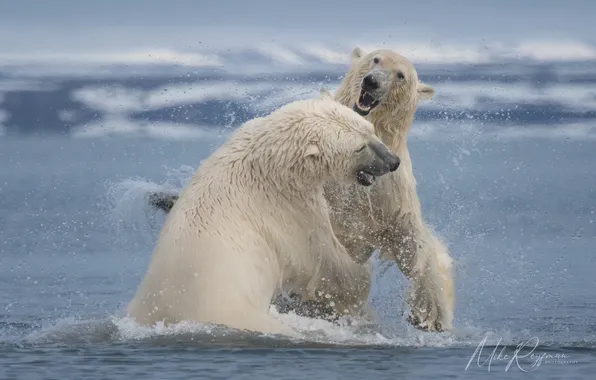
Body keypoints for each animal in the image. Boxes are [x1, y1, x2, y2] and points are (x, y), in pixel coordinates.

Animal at [128, 94, 402, 336]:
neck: (267, 167)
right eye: (359, 147)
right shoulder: (288, 213)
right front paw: (362, 269)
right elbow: (328, 266)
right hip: (238, 311)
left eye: (371, 130)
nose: (393, 161)